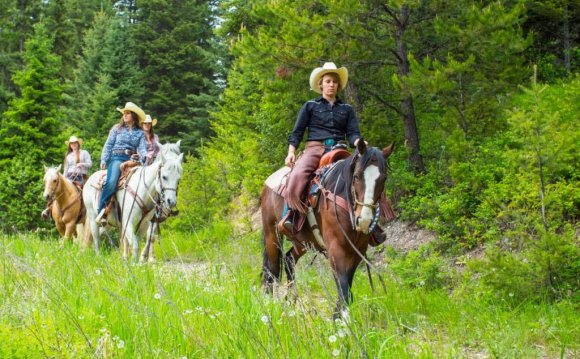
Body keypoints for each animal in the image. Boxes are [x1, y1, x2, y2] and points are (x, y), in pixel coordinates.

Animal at [262, 141, 394, 318]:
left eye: (383, 178)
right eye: (357, 175)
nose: (364, 220)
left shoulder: (358, 250)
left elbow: (347, 284)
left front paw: (338, 315)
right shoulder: (335, 248)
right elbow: (343, 284)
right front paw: (342, 319)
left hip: (304, 241)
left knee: (289, 260)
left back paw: (291, 302)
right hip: (271, 235)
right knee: (272, 269)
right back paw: (270, 303)